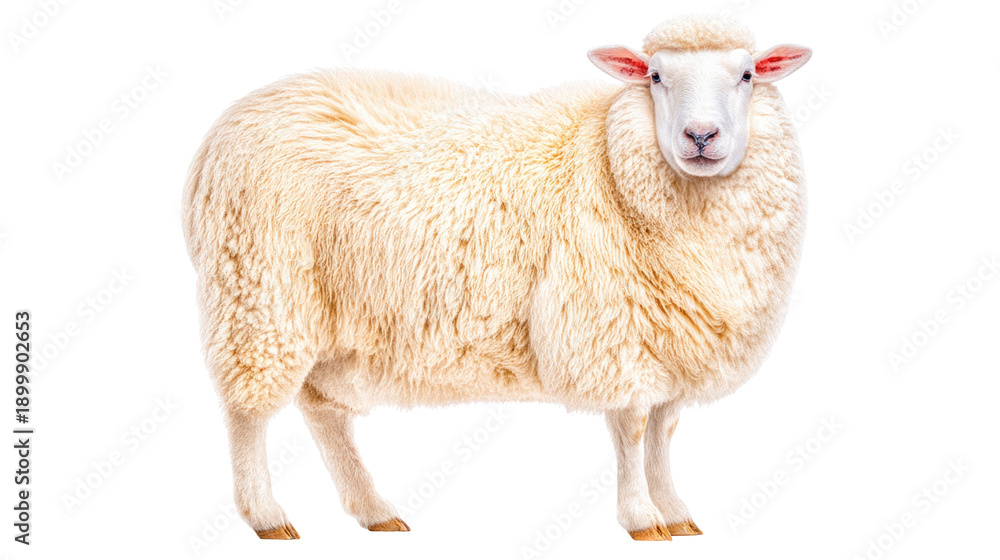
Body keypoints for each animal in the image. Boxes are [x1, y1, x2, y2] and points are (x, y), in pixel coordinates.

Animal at [182, 14, 811, 542]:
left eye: (747, 75)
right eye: (655, 76)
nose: (700, 136)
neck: (610, 161)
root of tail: (225, 127)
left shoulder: (673, 340)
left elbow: (663, 432)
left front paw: (676, 513)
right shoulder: (610, 332)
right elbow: (633, 431)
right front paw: (642, 519)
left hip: (331, 314)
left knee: (323, 411)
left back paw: (373, 510)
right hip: (258, 288)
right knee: (248, 411)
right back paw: (266, 516)